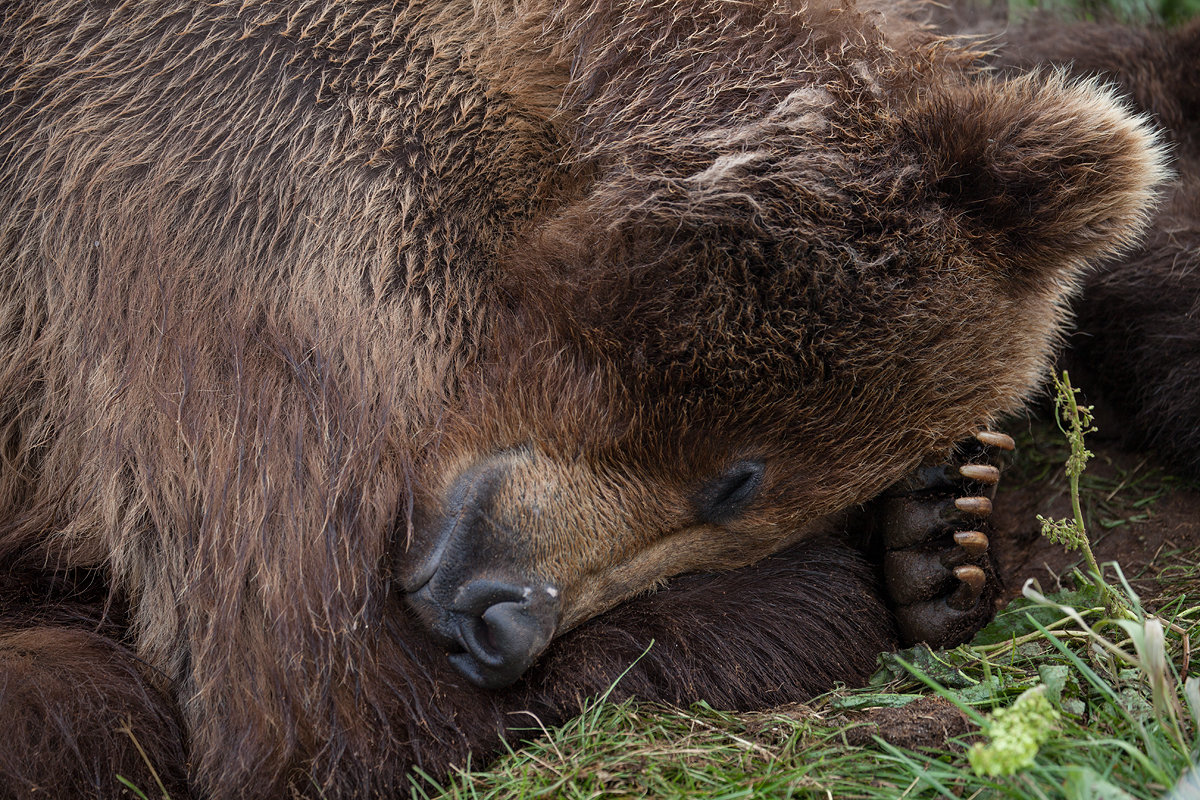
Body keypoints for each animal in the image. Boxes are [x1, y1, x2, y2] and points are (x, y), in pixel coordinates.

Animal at [0, 1, 1166, 800]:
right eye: (739, 479)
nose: (496, 622)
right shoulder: (244, 216)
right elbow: (316, 688)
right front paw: (844, 580)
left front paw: (940, 527)